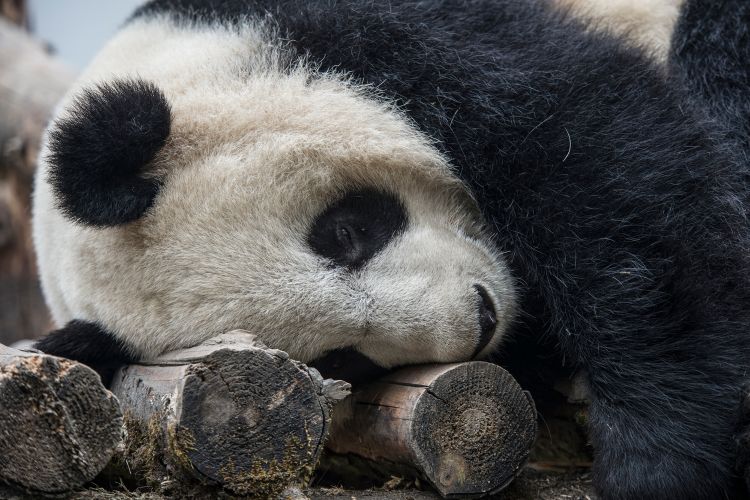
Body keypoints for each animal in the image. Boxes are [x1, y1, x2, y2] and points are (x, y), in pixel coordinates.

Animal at [32, 0, 750, 498]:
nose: (479, 321)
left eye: (345, 232)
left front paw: (656, 459)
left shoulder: (406, 39)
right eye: (339, 357)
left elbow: (603, 173)